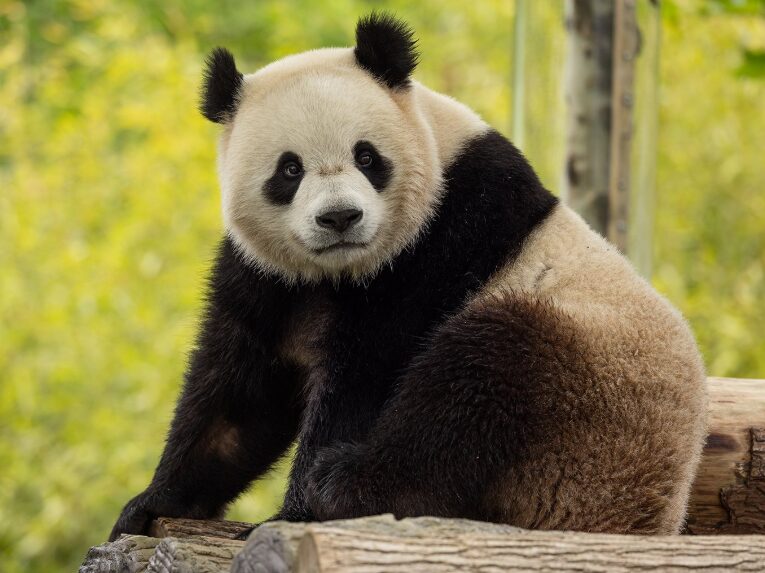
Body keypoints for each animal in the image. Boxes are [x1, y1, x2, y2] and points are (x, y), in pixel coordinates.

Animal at [110, 14, 707, 541]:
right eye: (289, 169)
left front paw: (295, 513)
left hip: (588, 398)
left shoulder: (442, 239)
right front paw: (151, 504)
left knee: (478, 382)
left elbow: (367, 376)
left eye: (367, 157)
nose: (340, 217)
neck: (339, 271)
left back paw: (345, 484)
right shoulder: (269, 276)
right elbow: (240, 394)